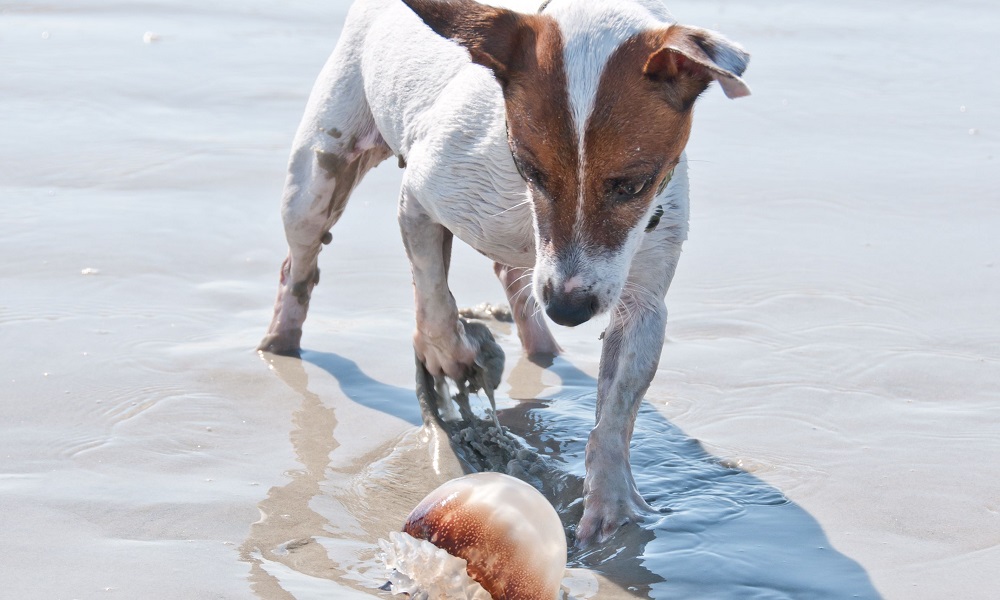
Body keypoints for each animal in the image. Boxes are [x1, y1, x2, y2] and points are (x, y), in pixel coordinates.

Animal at [260, 0, 752, 548]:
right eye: (530, 170)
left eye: (633, 185)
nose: (568, 310)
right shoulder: (420, 198)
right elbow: (432, 297)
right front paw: (449, 355)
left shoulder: (641, 298)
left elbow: (616, 413)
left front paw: (612, 505)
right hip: (318, 176)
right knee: (299, 260)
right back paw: (280, 342)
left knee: (511, 277)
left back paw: (543, 348)